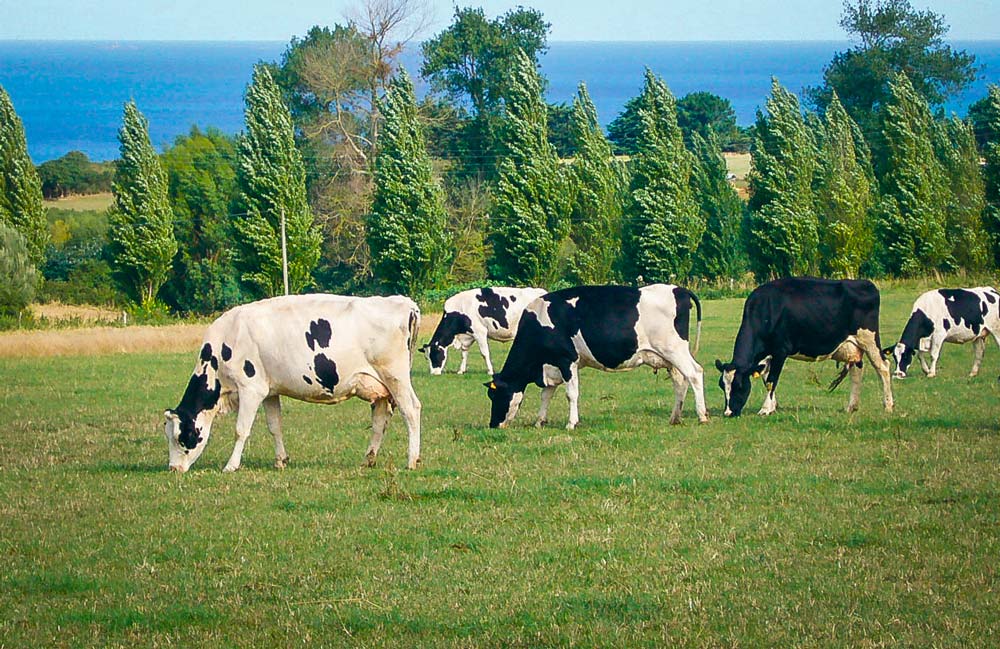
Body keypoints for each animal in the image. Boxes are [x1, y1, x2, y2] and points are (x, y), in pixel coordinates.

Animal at [164, 294, 422, 470]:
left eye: (180, 437)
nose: (174, 469)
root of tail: (404, 302)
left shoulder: (250, 389)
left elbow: (241, 430)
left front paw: (231, 465)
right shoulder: (269, 391)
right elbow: (274, 426)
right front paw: (281, 460)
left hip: (395, 377)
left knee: (411, 410)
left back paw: (412, 460)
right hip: (380, 387)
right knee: (380, 420)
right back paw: (369, 459)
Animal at [482, 284, 704, 428]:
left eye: (496, 395)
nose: (493, 424)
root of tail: (679, 289)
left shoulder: (567, 360)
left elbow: (571, 394)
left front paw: (571, 423)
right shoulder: (551, 366)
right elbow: (546, 394)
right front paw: (539, 421)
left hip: (674, 349)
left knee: (695, 373)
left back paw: (702, 415)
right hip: (669, 357)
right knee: (680, 381)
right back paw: (675, 418)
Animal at [716, 276, 896, 418]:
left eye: (739, 386)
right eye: (722, 386)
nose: (728, 413)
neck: (766, 310)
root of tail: (865, 283)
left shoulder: (780, 350)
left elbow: (771, 381)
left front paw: (765, 409)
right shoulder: (766, 354)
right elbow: (766, 378)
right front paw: (773, 406)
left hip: (869, 339)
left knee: (882, 366)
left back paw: (888, 405)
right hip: (854, 346)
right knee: (857, 371)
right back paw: (851, 406)